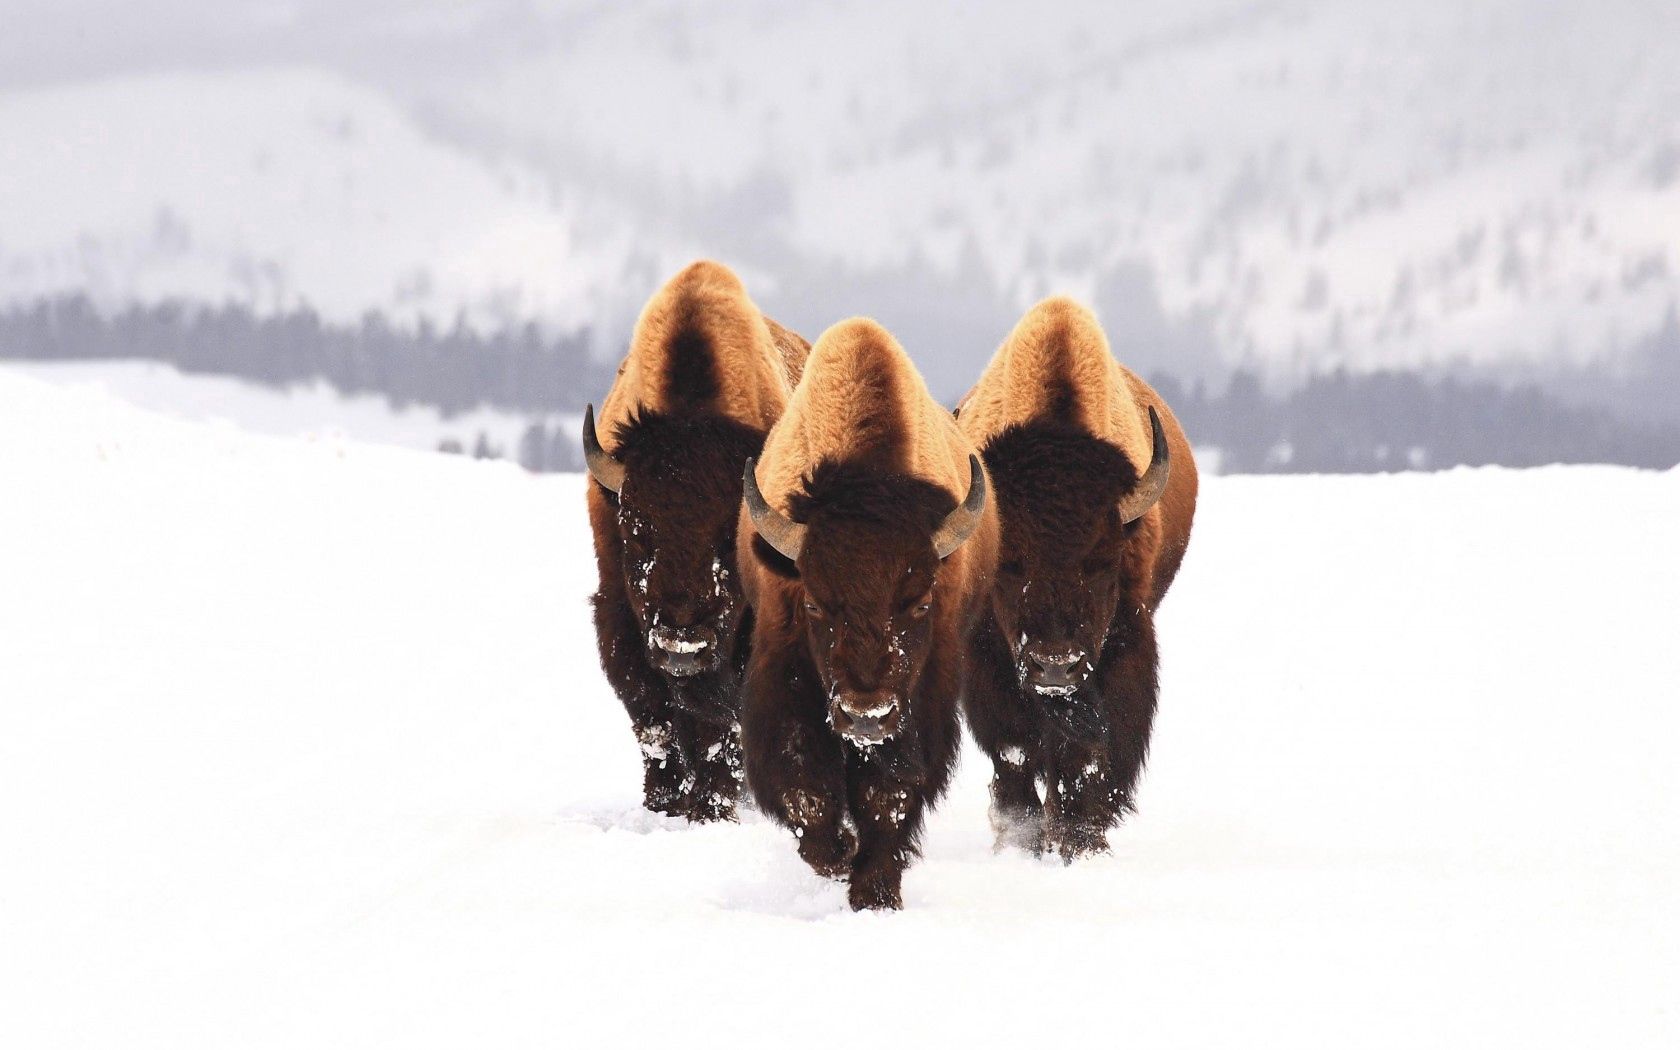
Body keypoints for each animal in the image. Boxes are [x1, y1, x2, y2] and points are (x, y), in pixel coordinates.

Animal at [584, 260, 806, 819]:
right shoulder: (619, 615)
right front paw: (665, 803)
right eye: (634, 534)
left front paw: (715, 807)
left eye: (729, 542)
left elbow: (718, 729)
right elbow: (654, 718)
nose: (682, 643)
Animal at [739, 315, 994, 907]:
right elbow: (805, 786)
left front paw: (875, 892)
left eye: (920, 602)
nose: (866, 716)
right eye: (813, 601)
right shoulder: (784, 676)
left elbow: (889, 795)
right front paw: (839, 855)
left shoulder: (922, 700)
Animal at [960, 295, 1196, 860]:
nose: (1055, 667)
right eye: (1009, 563)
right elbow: (1015, 753)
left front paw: (1079, 842)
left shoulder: (1125, 647)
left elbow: (1087, 758)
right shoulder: (986, 662)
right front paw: (1021, 841)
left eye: (1102, 561)